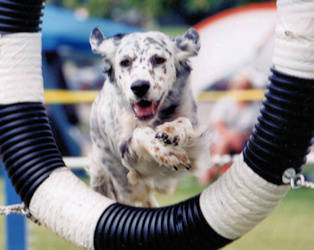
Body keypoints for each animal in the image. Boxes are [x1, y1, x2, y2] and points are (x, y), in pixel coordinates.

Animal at [88, 27, 210, 207]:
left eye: (158, 59)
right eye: (125, 62)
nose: (139, 87)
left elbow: (184, 122)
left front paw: (171, 130)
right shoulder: (126, 151)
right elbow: (141, 133)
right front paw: (168, 153)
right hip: (121, 185)